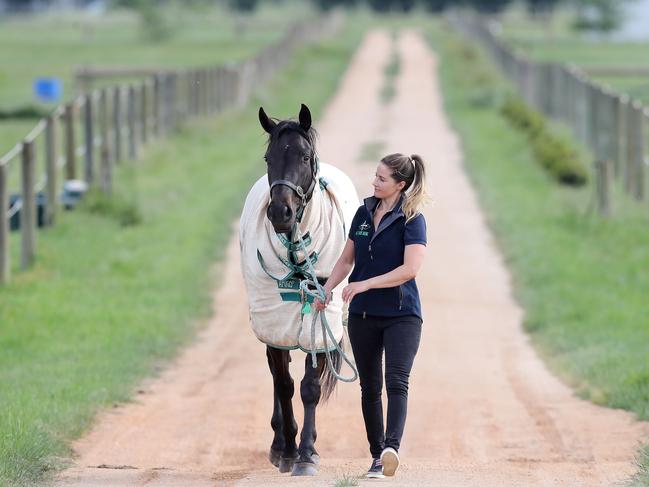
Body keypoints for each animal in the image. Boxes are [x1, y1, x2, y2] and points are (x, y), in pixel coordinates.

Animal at [239, 104, 360, 476]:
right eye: (269, 157)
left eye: (305, 157)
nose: (281, 212)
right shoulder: (276, 322)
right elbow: (284, 384)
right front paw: (288, 450)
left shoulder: (319, 322)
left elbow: (309, 388)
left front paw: (307, 453)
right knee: (277, 376)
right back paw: (279, 442)